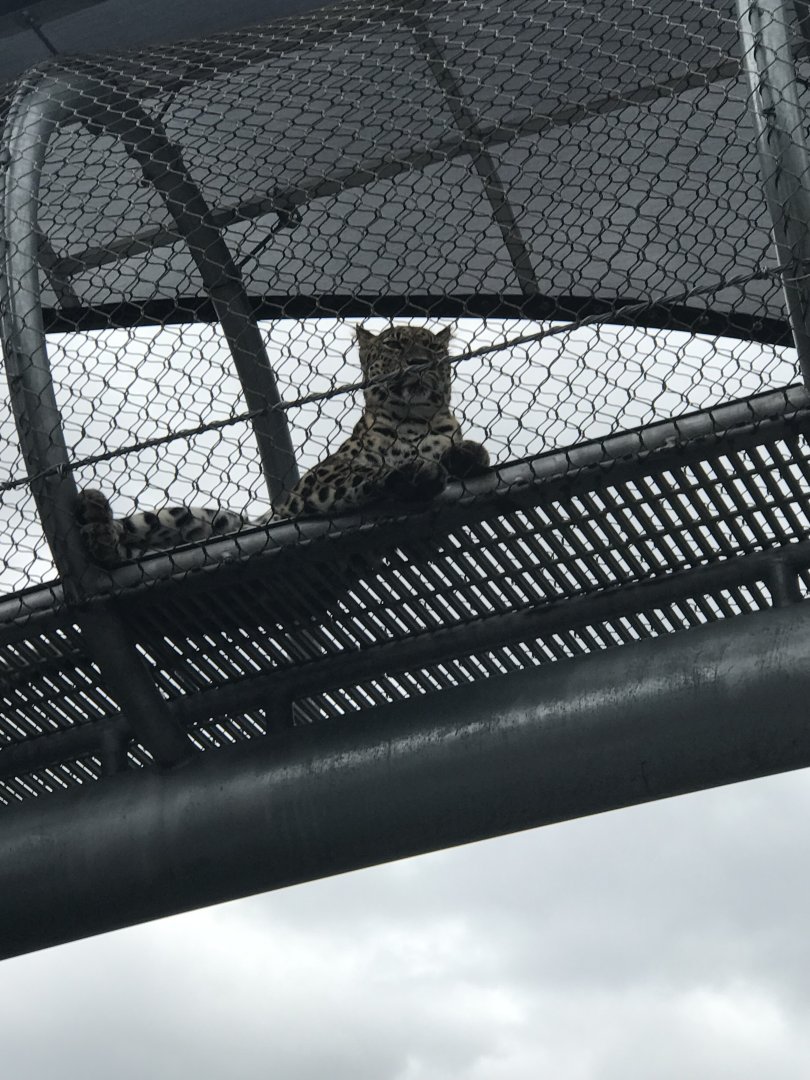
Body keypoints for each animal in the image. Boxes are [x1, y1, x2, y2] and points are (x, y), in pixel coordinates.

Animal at [76, 324, 490, 565]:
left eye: (434, 349)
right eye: (393, 344)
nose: (419, 361)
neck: (414, 419)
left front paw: (467, 454)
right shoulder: (318, 482)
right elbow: (364, 472)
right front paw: (410, 472)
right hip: (200, 516)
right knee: (126, 542)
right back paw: (97, 522)